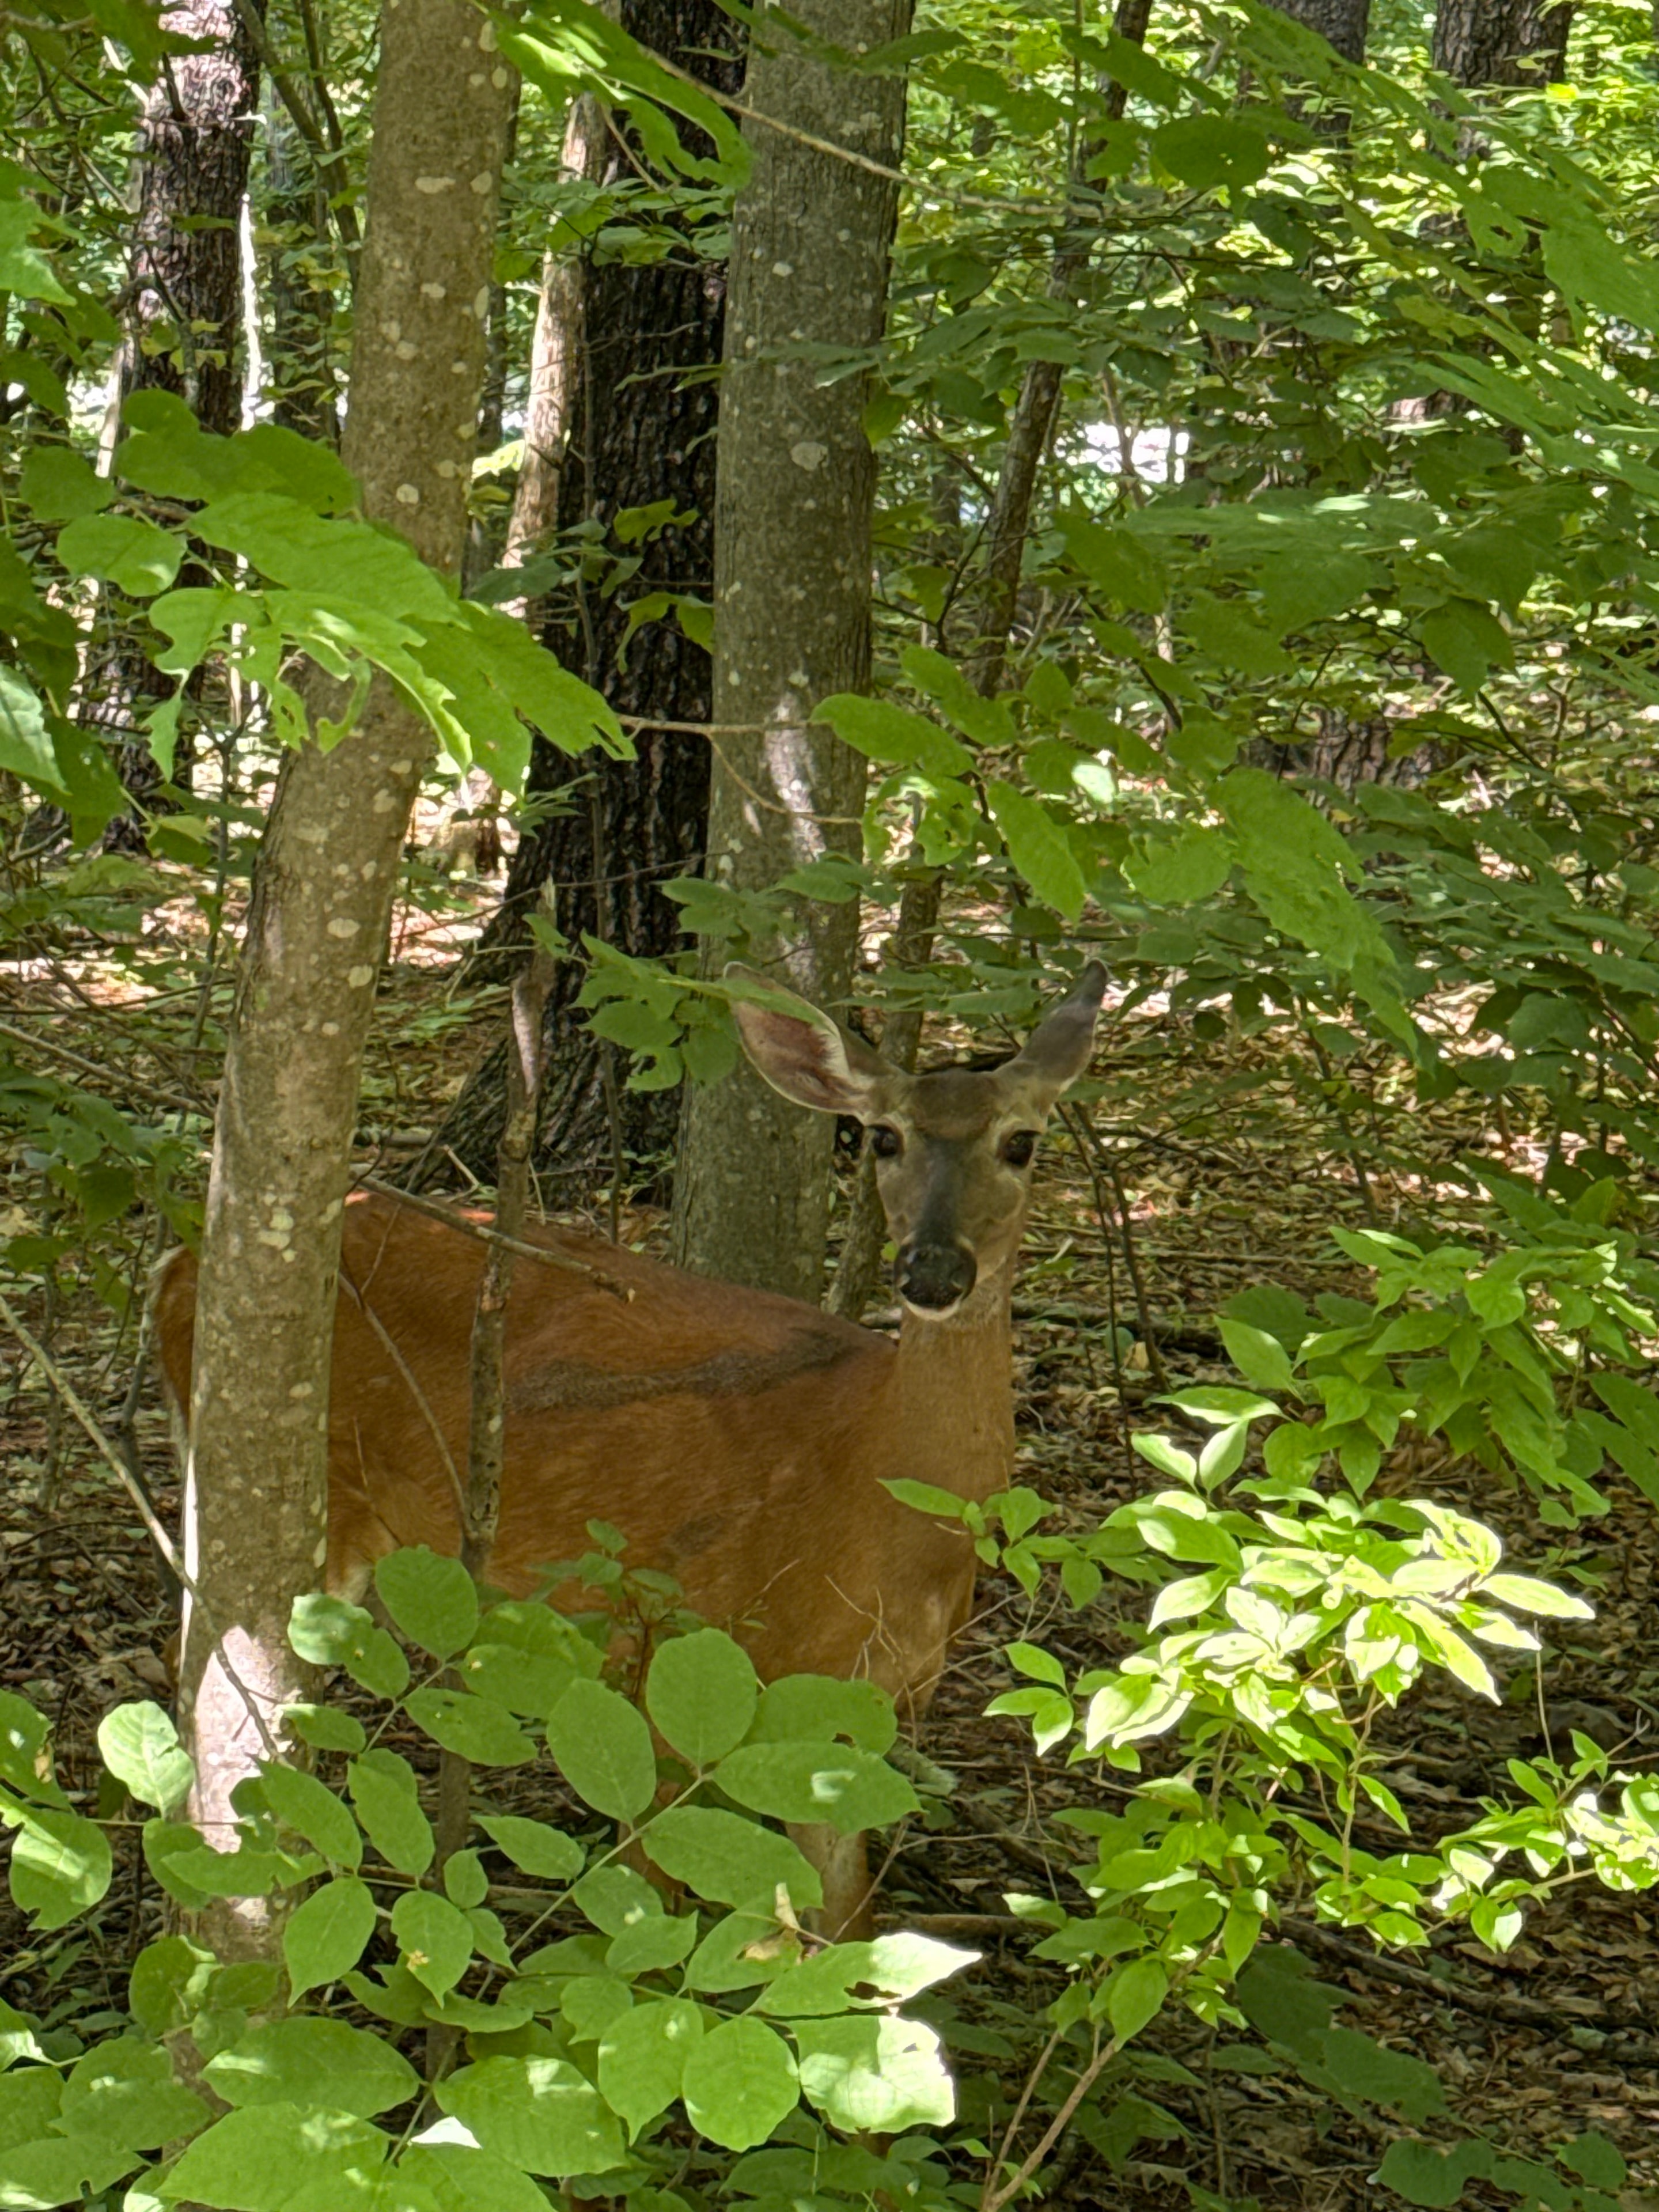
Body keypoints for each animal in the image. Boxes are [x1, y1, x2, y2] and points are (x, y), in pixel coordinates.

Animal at [153, 961, 1107, 1935]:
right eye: (884, 1136)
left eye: (1022, 1142)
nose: (933, 1271)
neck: (877, 1499)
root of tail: (179, 1270)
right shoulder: (678, 1654)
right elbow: (654, 1902)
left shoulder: (863, 1714)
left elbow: (844, 1926)